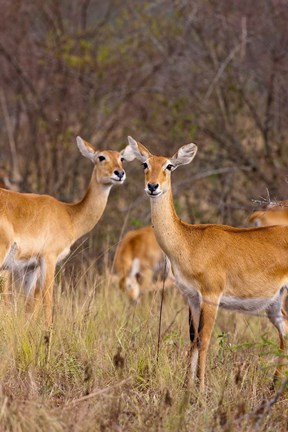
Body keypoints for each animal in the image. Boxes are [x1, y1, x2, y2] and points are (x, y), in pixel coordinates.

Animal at [0, 137, 133, 326]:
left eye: (121, 158)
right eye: (101, 157)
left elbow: (29, 307)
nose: (119, 173)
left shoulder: (30, 267)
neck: (69, 214)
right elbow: (47, 301)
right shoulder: (48, 258)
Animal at [124, 137, 288, 390]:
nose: (152, 186)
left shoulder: (211, 296)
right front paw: (186, 386)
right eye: (145, 164)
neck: (189, 241)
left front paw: (200, 388)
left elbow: (204, 339)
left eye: (169, 165)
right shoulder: (192, 297)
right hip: (274, 304)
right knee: (285, 331)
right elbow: (193, 340)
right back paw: (274, 385)